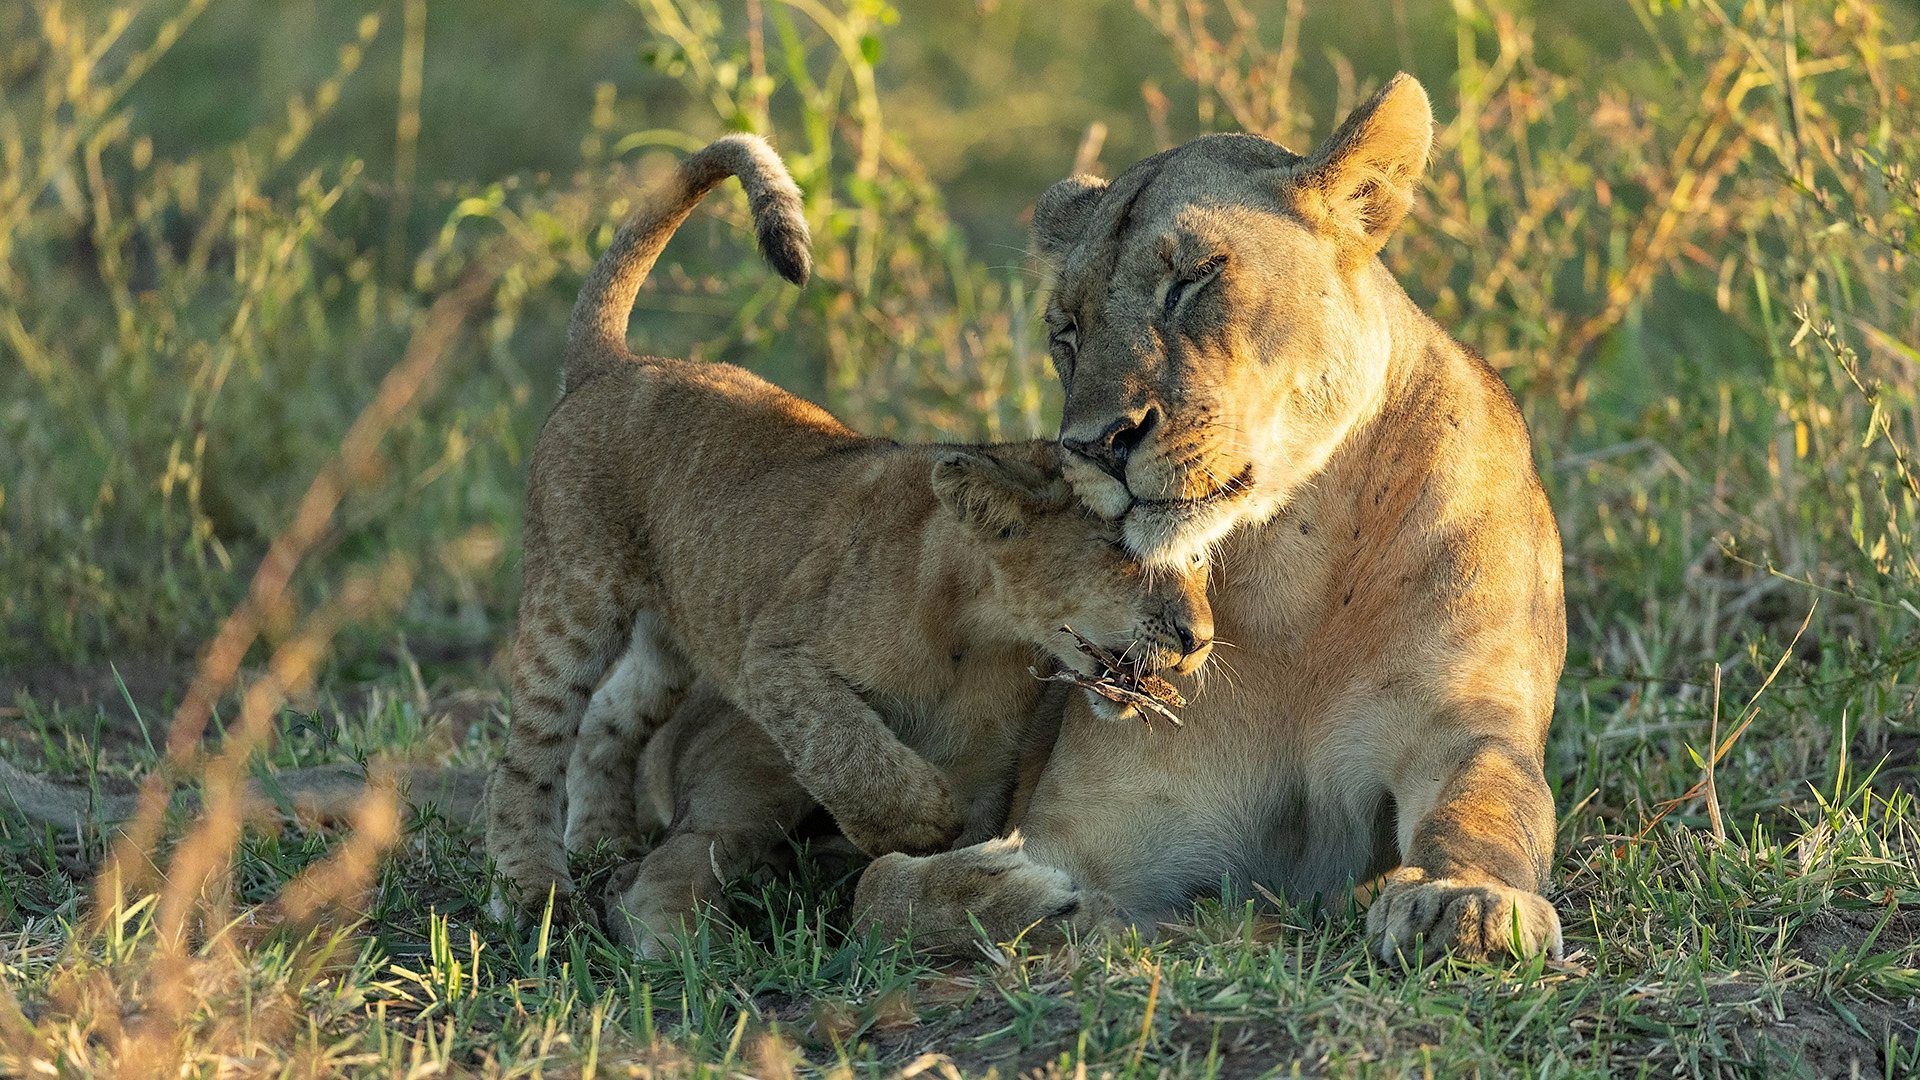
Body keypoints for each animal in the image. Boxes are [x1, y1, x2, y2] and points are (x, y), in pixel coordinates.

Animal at [483, 134, 1214, 923]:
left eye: (1199, 558)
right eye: (1119, 545)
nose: (1199, 640)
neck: (983, 634)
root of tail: (616, 362)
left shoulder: (990, 767)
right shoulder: (776, 659)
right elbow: (849, 750)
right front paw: (920, 819)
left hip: (672, 636)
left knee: (607, 720)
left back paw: (602, 841)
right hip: (574, 600)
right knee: (526, 753)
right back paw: (534, 889)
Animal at [852, 74, 1569, 963]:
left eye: (1192, 279)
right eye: (1066, 329)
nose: (1096, 445)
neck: (1289, 571)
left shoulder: (1463, 720)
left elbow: (1488, 801)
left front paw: (1463, 900)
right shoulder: (1100, 817)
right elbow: (879, 890)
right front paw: (1026, 897)